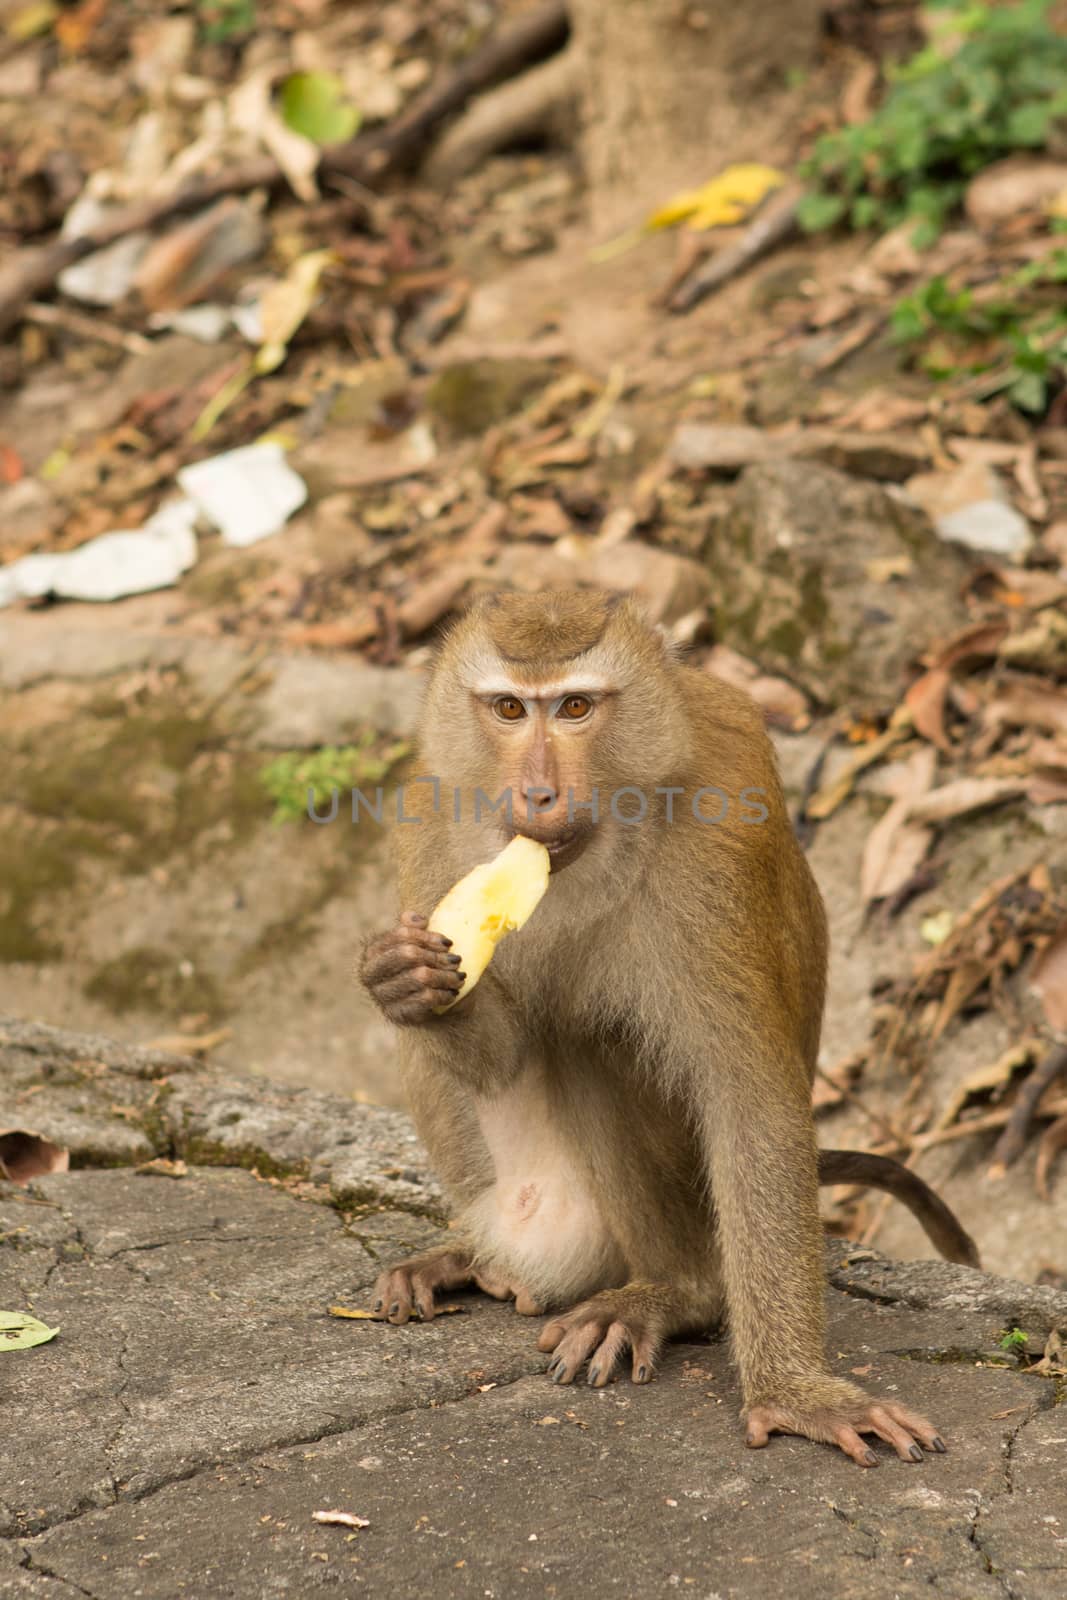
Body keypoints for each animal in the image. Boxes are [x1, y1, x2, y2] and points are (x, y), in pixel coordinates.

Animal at [363, 588, 979, 1465]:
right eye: (510, 709)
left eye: (576, 708)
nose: (537, 794)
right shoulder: (427, 822)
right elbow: (497, 1055)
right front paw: (407, 981)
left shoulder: (711, 857)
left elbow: (749, 1101)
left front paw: (794, 1392)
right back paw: (476, 1258)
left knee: (598, 1043)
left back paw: (675, 1294)